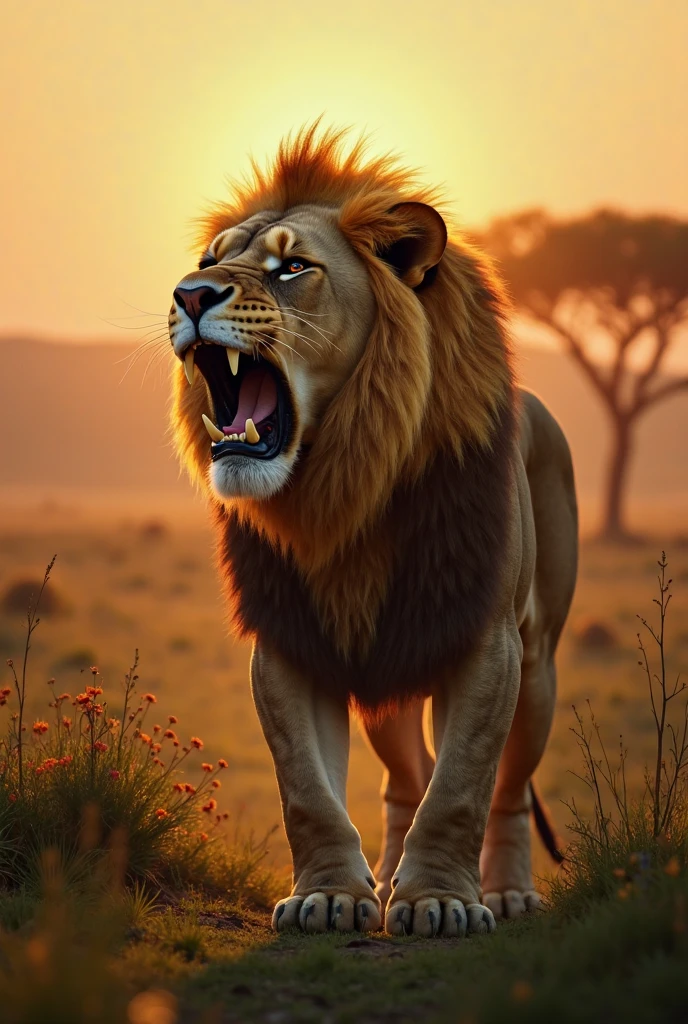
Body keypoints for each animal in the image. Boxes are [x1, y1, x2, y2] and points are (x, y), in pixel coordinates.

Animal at [168, 125, 578, 937]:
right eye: (207, 260)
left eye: (293, 267)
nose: (191, 294)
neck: (343, 482)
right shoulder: (290, 639)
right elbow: (308, 789)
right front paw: (331, 896)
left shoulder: (488, 641)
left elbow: (462, 786)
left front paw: (441, 902)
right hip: (389, 665)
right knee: (404, 779)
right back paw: (387, 879)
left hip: (539, 666)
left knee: (508, 789)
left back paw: (505, 892)